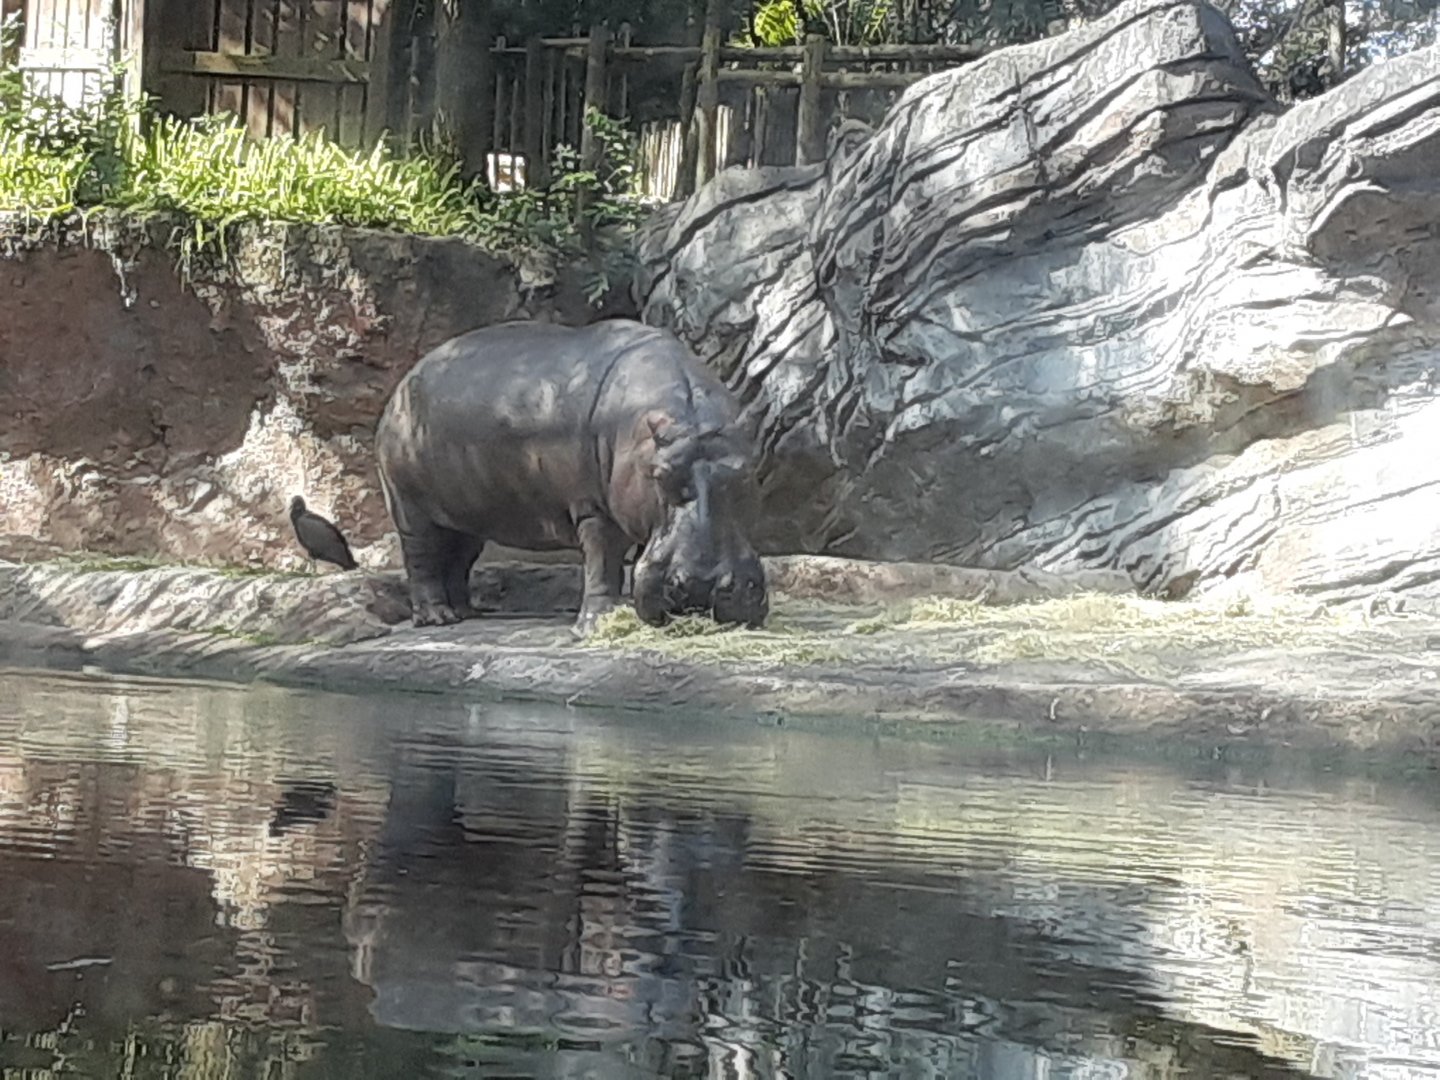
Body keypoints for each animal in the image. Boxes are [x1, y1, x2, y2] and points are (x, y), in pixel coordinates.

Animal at [375, 318, 769, 636]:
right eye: (659, 476)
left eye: (747, 475)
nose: (703, 585)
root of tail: (399, 390)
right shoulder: (594, 508)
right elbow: (603, 561)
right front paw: (598, 624)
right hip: (409, 504)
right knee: (421, 555)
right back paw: (437, 619)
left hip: (468, 511)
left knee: (458, 555)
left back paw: (466, 613)